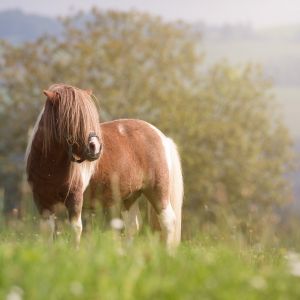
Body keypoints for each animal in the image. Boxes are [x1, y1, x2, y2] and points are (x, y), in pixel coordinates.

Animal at [25, 83, 184, 247]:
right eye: (70, 118)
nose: (95, 148)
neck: (50, 166)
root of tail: (162, 137)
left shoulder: (75, 198)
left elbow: (75, 228)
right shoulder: (42, 201)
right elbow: (47, 231)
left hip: (157, 191)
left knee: (167, 222)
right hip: (130, 196)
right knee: (132, 225)